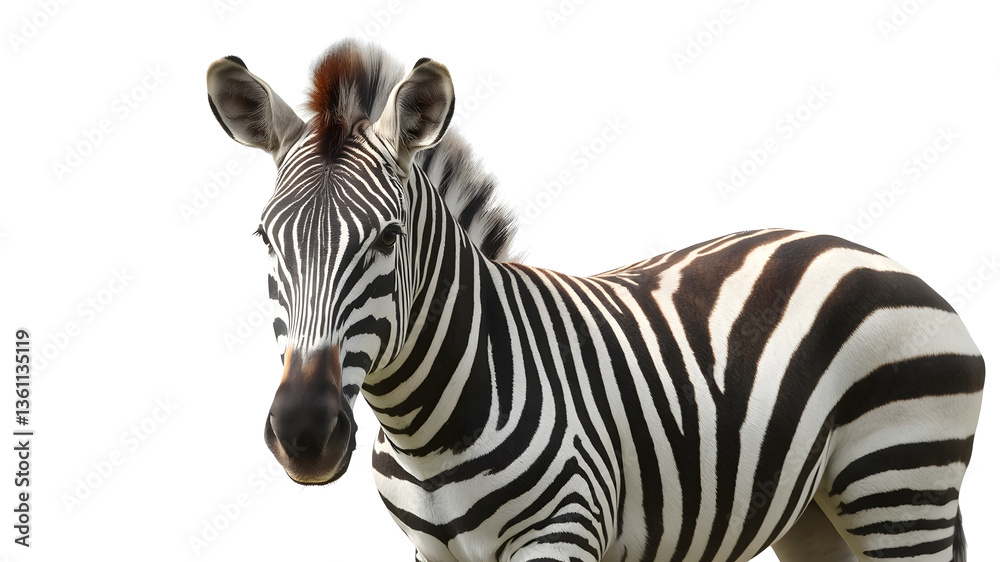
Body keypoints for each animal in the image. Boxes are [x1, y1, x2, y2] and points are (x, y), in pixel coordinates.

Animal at [206, 39, 985, 562]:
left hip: (900, 486)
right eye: (266, 238)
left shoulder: (562, 535)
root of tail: (876, 257)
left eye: (388, 239)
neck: (428, 427)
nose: (304, 432)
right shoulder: (433, 552)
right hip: (816, 511)